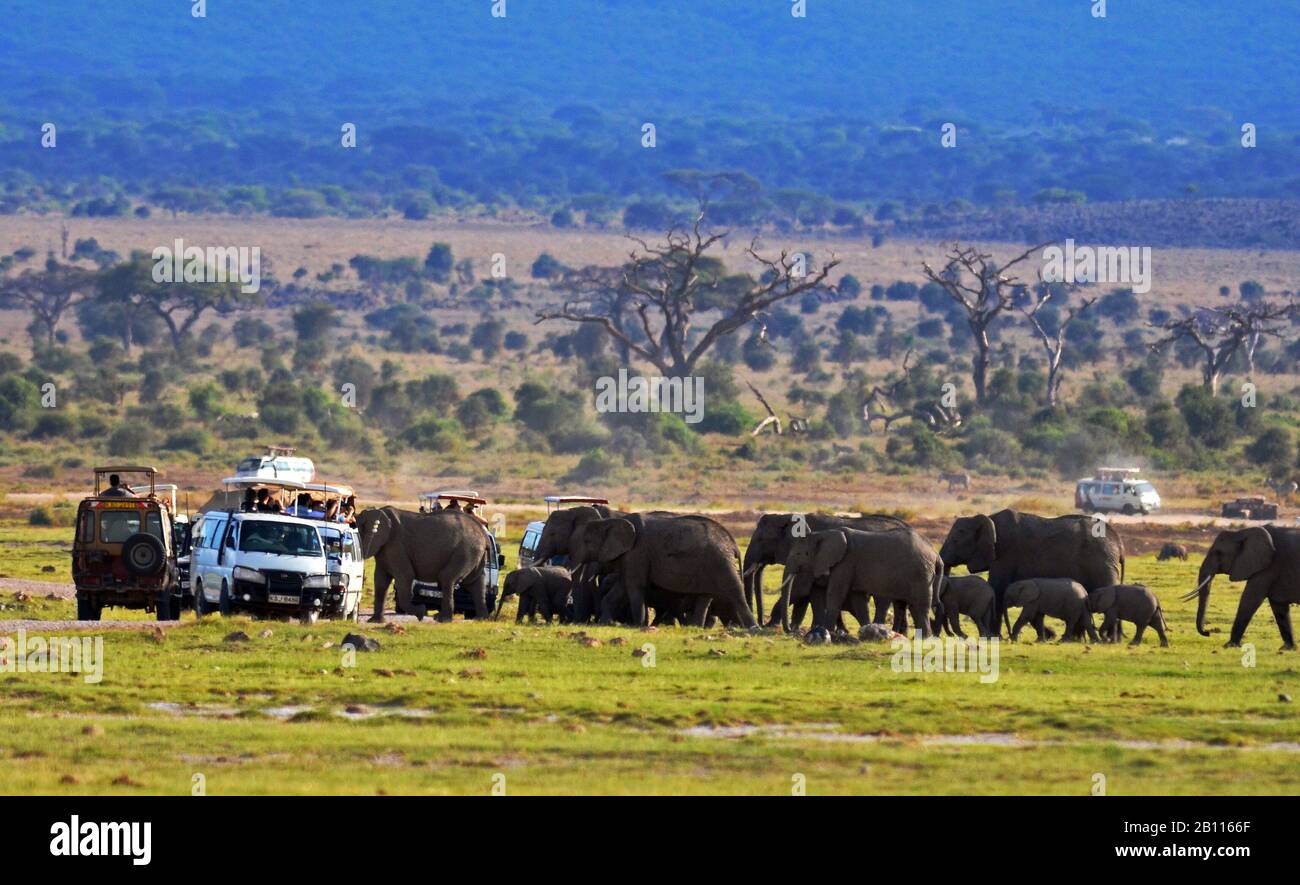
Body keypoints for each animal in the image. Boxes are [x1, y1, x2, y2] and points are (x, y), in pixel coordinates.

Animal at [358, 504, 488, 621]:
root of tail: (483, 533)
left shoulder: (396, 545)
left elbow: (405, 577)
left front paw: (420, 612)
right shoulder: (384, 549)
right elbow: (381, 582)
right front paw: (375, 621)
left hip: (465, 551)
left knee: (447, 579)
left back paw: (441, 619)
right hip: (473, 553)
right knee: (475, 583)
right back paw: (479, 619)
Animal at [574, 512, 759, 628]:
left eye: (587, 541)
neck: (609, 522)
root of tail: (733, 543)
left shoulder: (637, 552)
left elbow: (634, 587)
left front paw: (637, 626)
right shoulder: (630, 558)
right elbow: (622, 587)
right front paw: (607, 624)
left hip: (721, 560)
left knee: (734, 590)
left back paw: (753, 629)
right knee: (705, 596)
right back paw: (694, 627)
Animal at [743, 512, 904, 628]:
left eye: (761, 540)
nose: (760, 623)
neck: (785, 517)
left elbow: (800, 590)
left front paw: (773, 626)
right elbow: (805, 595)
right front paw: (797, 628)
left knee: (882, 600)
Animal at [774, 525, 941, 634]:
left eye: (800, 554)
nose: (791, 630)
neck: (823, 534)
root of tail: (935, 553)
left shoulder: (846, 562)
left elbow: (835, 594)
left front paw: (828, 632)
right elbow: (858, 600)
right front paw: (868, 631)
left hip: (920, 573)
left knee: (919, 606)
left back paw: (925, 639)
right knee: (906, 605)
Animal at [935, 506, 1128, 639]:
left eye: (955, 539)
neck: (988, 519)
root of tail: (1120, 544)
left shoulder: (1005, 554)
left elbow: (998, 589)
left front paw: (995, 637)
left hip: (1102, 565)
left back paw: (1110, 640)